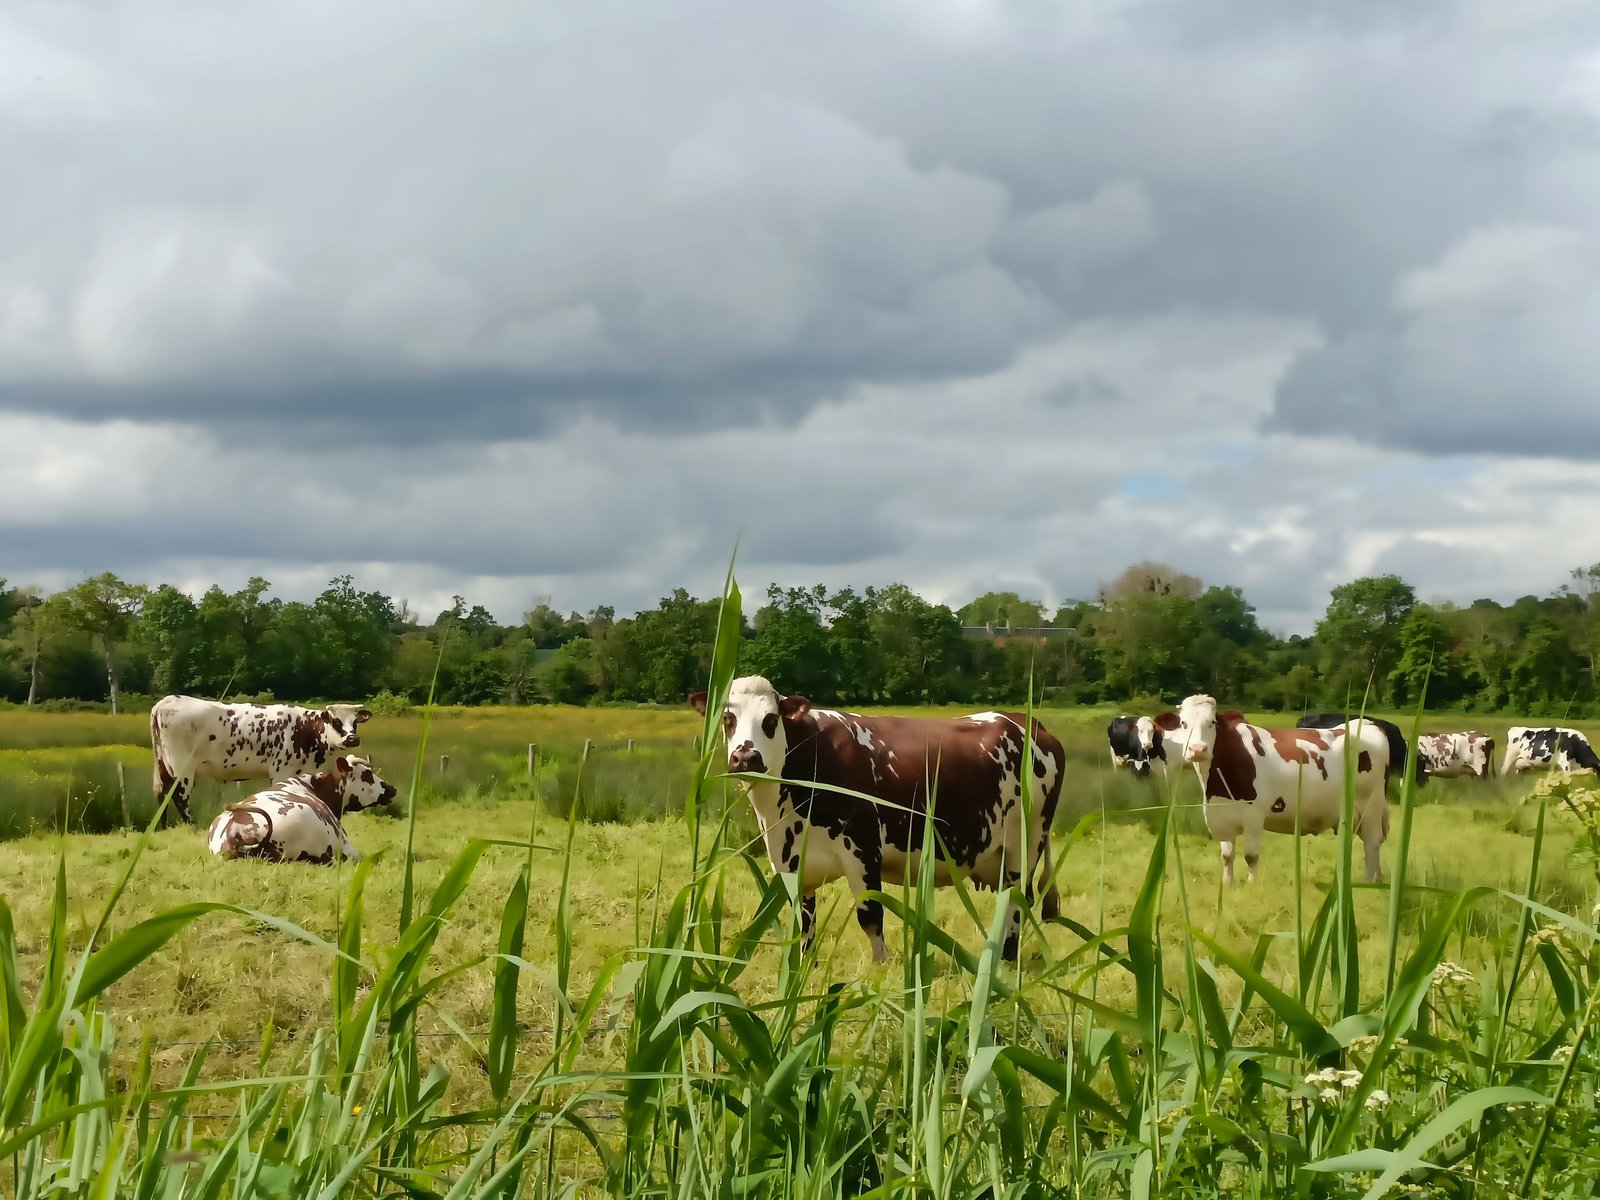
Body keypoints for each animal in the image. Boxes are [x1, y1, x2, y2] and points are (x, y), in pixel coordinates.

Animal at [150, 695, 373, 826]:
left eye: (355, 722)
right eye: (336, 722)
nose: (352, 738)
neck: (306, 730)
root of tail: (168, 700)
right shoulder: (282, 770)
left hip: (163, 764)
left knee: (161, 792)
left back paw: (162, 827)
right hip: (183, 766)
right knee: (179, 795)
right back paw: (192, 825)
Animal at [689, 676, 1066, 964]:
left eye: (770, 720)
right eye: (727, 720)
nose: (745, 757)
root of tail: (1027, 722)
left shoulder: (863, 851)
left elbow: (871, 917)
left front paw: (879, 971)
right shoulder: (792, 866)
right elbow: (805, 924)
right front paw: (802, 972)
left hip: (1024, 848)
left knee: (1017, 904)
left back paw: (1005, 961)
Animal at [1156, 695, 1391, 883]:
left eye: (1212, 722)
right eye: (1183, 723)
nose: (1197, 749)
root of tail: (1368, 724)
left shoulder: (1253, 815)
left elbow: (1251, 856)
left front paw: (1251, 886)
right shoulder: (1220, 814)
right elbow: (1227, 855)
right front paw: (1227, 885)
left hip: (1371, 805)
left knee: (1372, 842)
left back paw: (1368, 882)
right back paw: (1376, 878)